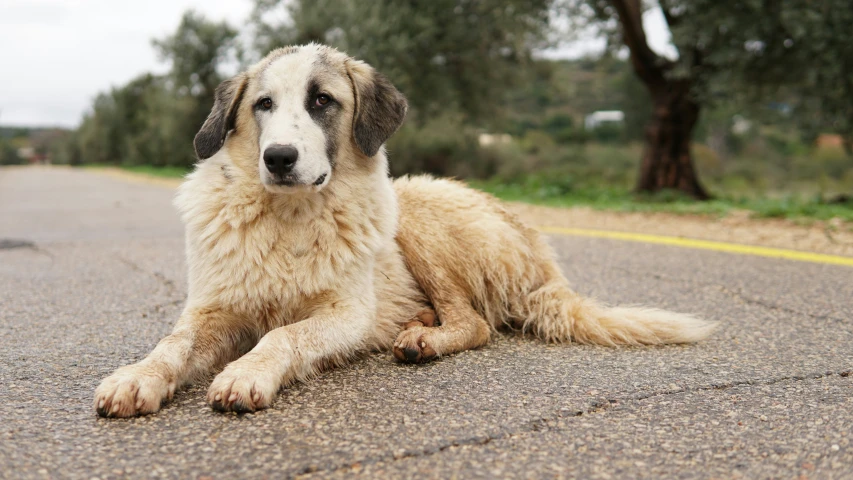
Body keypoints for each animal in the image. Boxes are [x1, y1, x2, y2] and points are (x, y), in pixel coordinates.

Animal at [93, 46, 716, 420]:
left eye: (322, 101)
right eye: (263, 104)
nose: (278, 158)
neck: (290, 219)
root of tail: (540, 256)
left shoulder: (346, 313)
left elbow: (284, 336)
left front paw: (246, 372)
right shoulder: (214, 309)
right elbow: (172, 344)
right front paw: (137, 377)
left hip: (417, 221)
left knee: (474, 323)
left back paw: (425, 338)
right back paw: (417, 322)